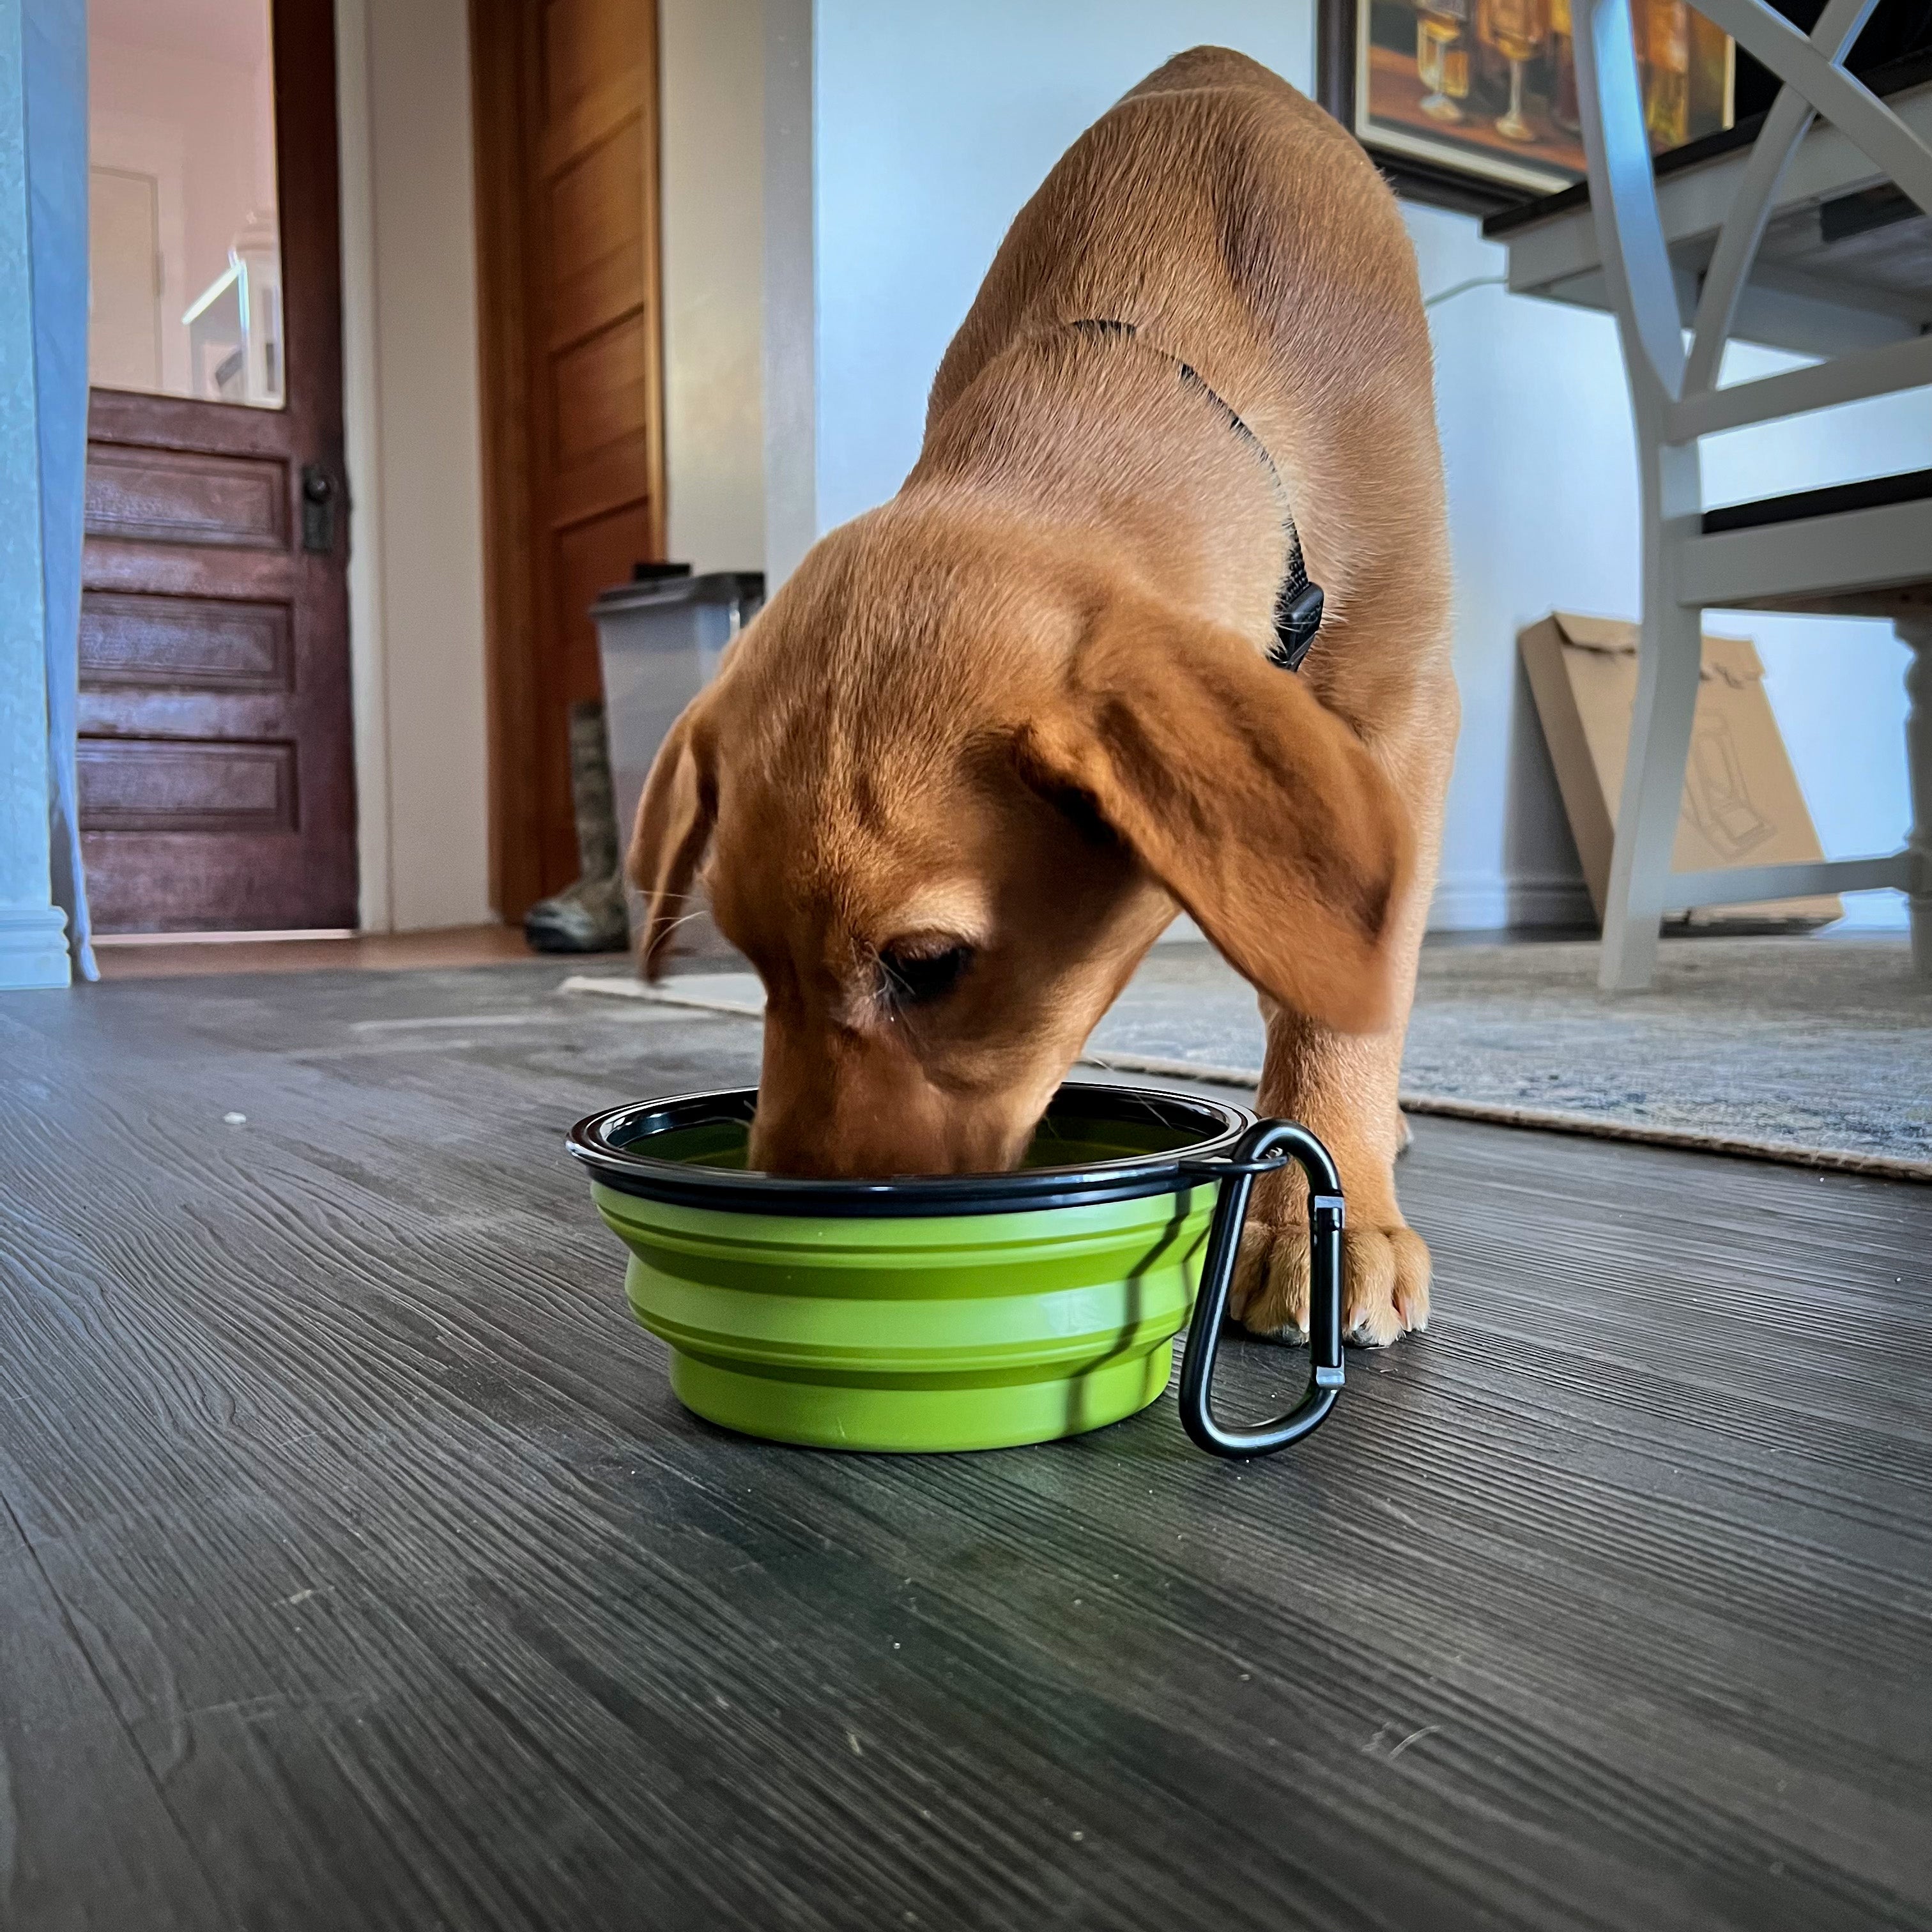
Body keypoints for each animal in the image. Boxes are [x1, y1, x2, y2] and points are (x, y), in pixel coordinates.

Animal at [625, 45, 1453, 1344]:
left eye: (924, 965)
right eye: (750, 959)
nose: (812, 1228)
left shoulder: (1400, 710)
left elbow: (1343, 1000)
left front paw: (1320, 1211)